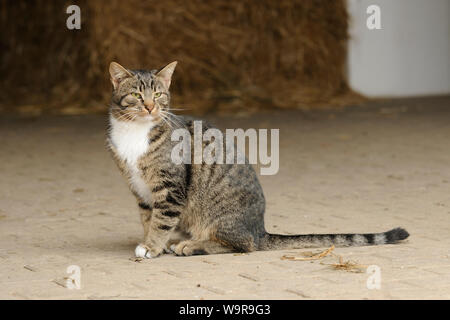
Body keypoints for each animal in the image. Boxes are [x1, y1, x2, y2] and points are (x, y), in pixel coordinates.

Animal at [107, 61, 410, 258]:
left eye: (158, 94)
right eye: (136, 95)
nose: (150, 106)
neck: (135, 131)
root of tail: (261, 229)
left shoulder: (170, 188)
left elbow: (161, 220)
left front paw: (152, 246)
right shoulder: (140, 189)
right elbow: (149, 218)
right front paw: (149, 240)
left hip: (219, 217)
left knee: (244, 245)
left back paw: (191, 245)